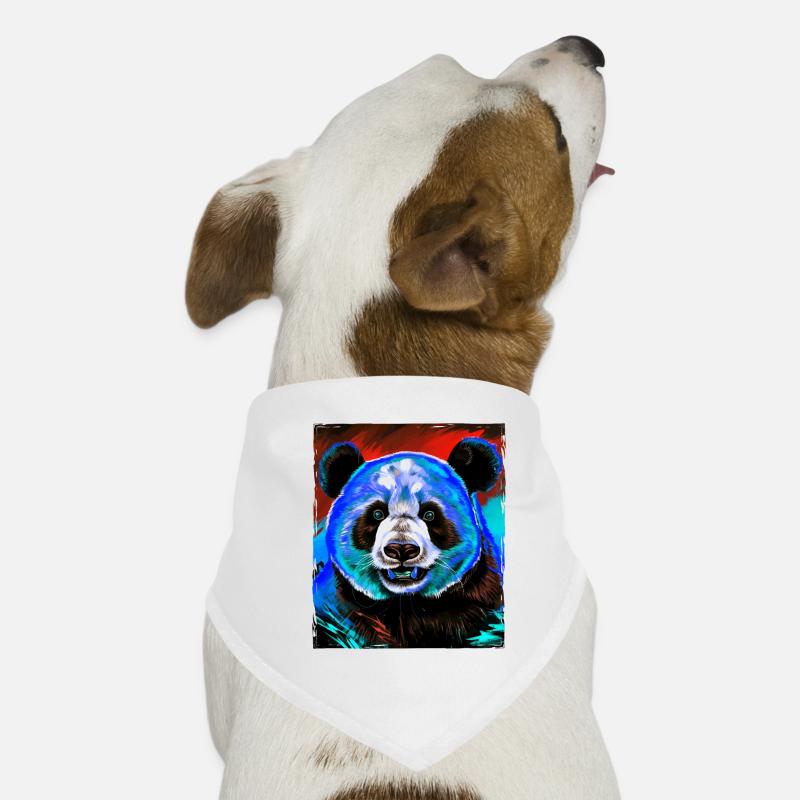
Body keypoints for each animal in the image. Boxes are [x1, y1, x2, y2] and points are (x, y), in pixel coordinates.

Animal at [313, 437, 504, 648]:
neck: (406, 603)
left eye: (429, 514)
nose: (401, 549)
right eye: (377, 514)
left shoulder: (479, 602)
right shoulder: (337, 611)